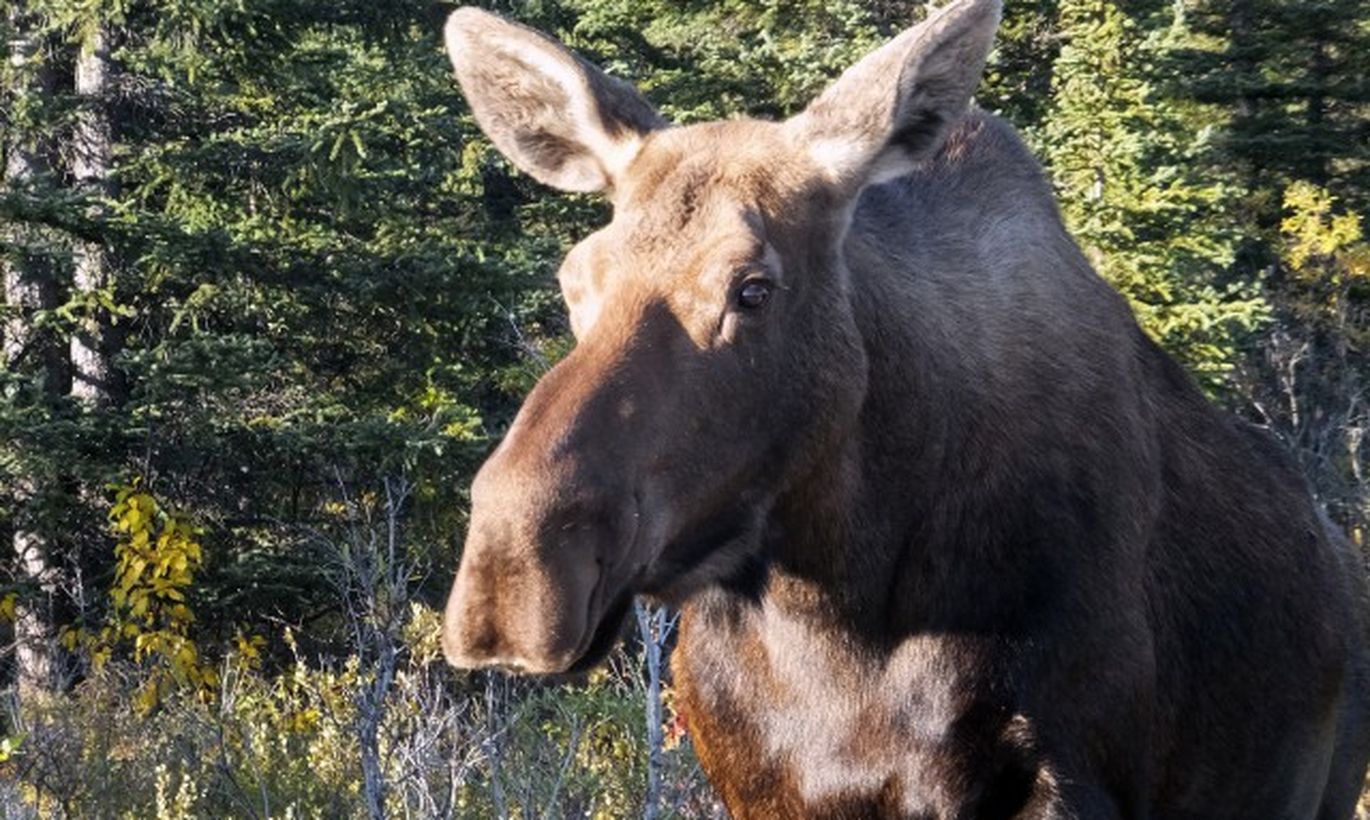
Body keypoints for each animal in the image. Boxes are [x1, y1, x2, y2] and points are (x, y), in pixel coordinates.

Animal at [438, 0, 1370, 815]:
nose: (512, 572)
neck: (837, 609)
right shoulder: (760, 786)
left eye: (752, 287)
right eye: (573, 280)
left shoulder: (1065, 775)